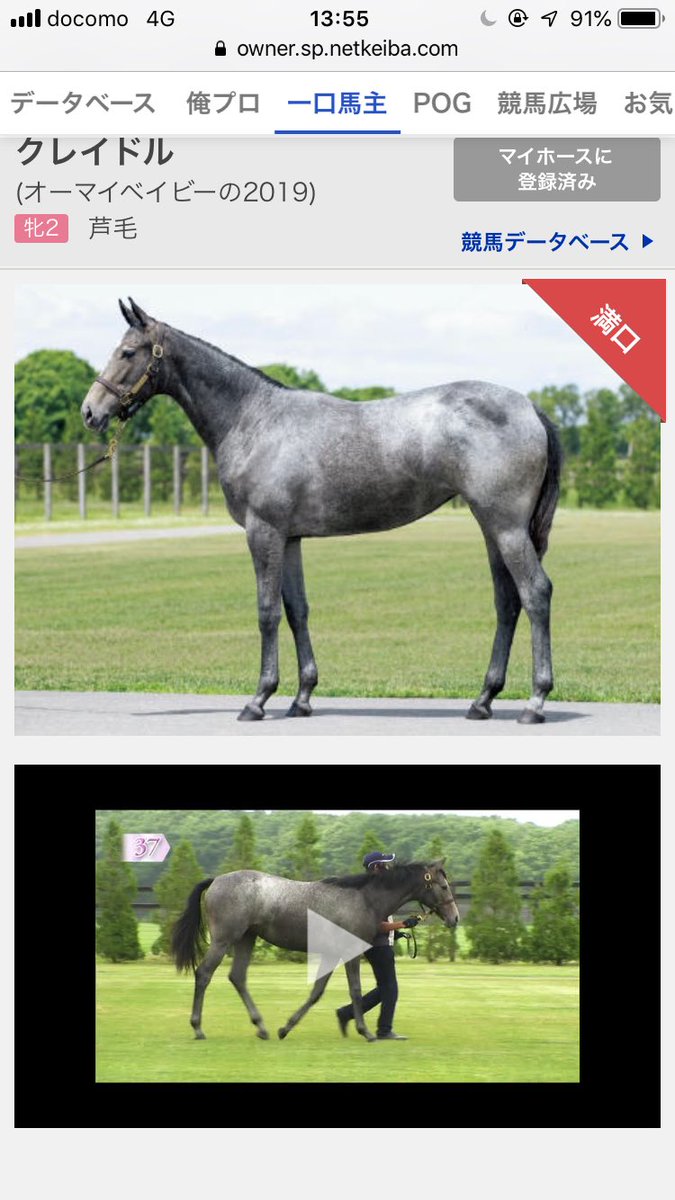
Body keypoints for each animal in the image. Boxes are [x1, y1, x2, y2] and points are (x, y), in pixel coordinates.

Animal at [82, 297, 562, 724]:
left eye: (127, 352)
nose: (90, 412)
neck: (253, 419)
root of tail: (530, 408)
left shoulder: (263, 532)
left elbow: (267, 611)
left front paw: (258, 699)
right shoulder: (289, 538)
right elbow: (297, 610)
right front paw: (302, 698)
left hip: (506, 528)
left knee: (535, 593)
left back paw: (535, 702)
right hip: (493, 529)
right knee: (507, 602)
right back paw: (483, 700)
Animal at [171, 861, 460, 1042]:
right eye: (444, 886)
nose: (455, 918)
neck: (363, 899)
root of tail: (216, 880)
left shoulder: (331, 955)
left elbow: (316, 992)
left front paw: (285, 1028)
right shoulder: (350, 953)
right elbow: (355, 990)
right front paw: (366, 1032)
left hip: (246, 938)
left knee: (238, 977)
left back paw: (262, 1028)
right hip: (224, 939)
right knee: (204, 973)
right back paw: (198, 1028)